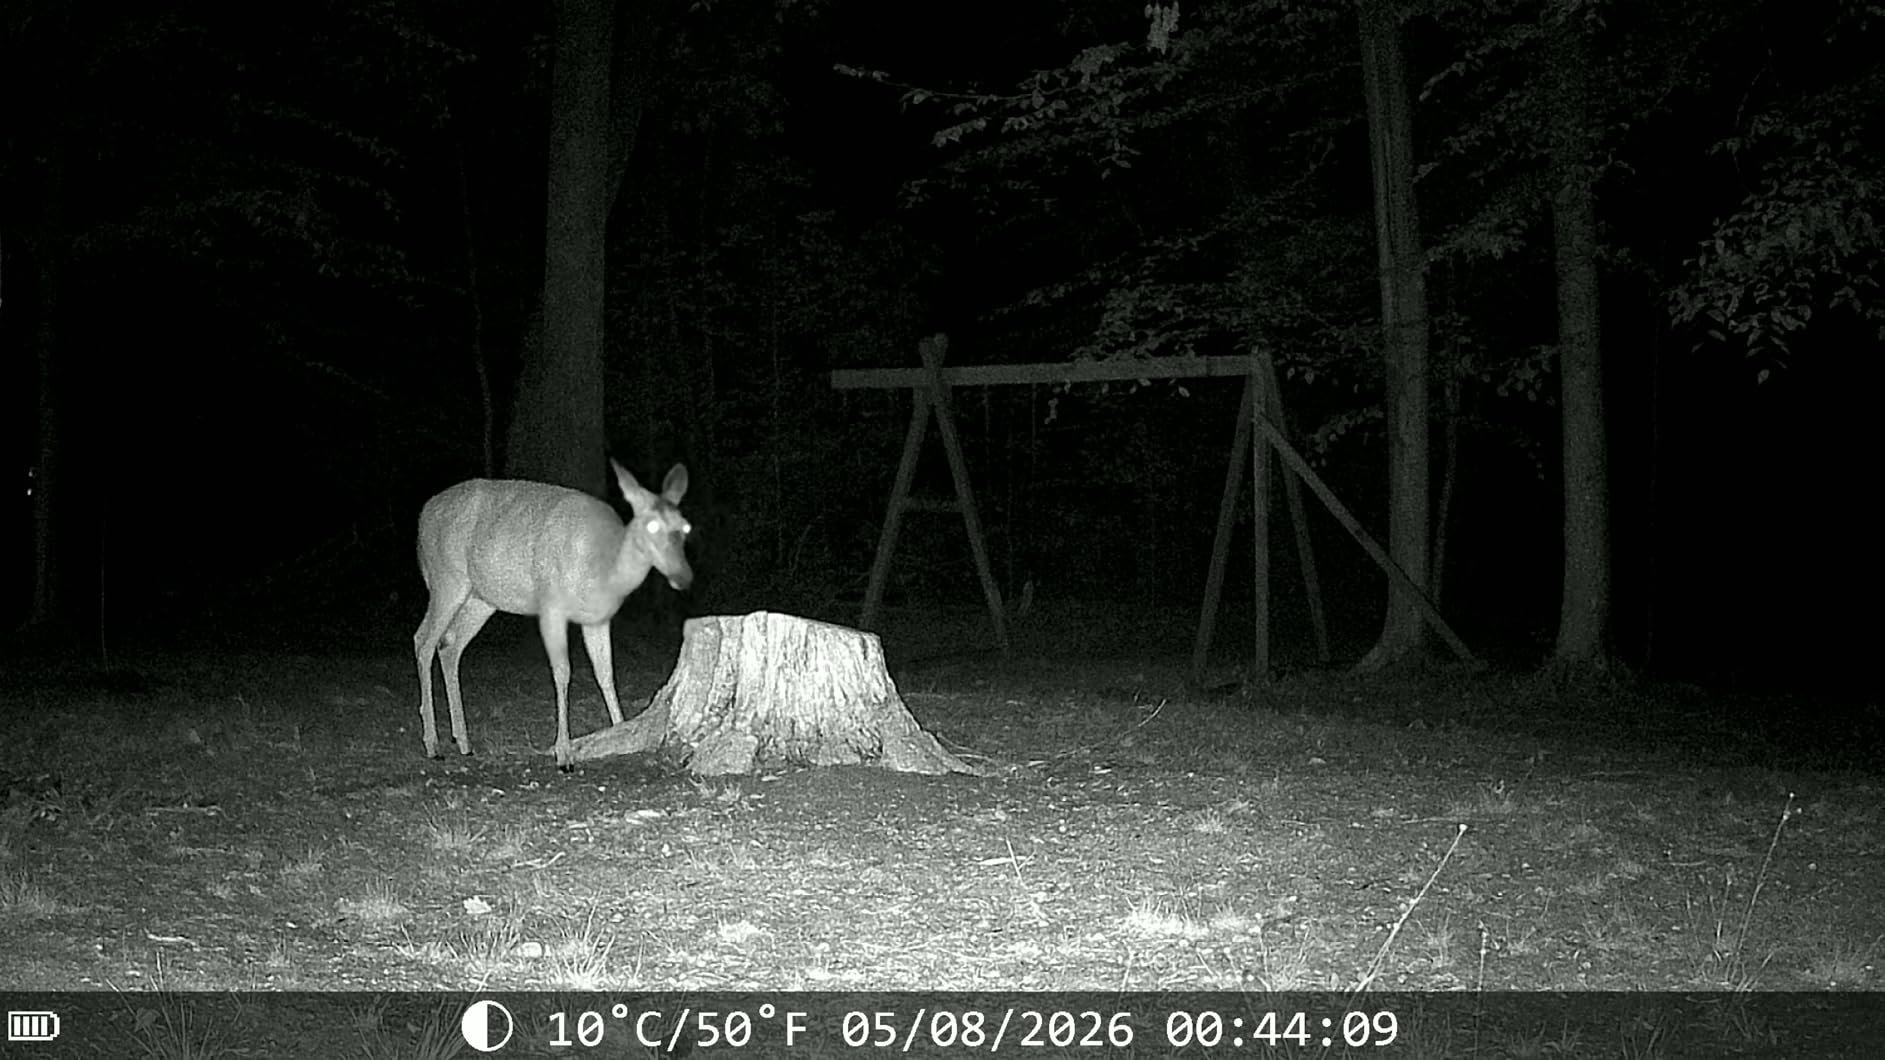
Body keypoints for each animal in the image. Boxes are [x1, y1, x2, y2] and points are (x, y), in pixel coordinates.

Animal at [412, 460, 691, 771]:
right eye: (651, 525)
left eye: (685, 527)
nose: (683, 576)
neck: (602, 566)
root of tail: (423, 514)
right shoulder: (552, 605)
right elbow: (563, 672)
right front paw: (564, 754)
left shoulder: (597, 618)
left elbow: (605, 672)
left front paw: (622, 731)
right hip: (446, 577)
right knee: (423, 640)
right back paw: (433, 743)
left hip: (481, 598)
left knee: (449, 645)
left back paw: (462, 741)